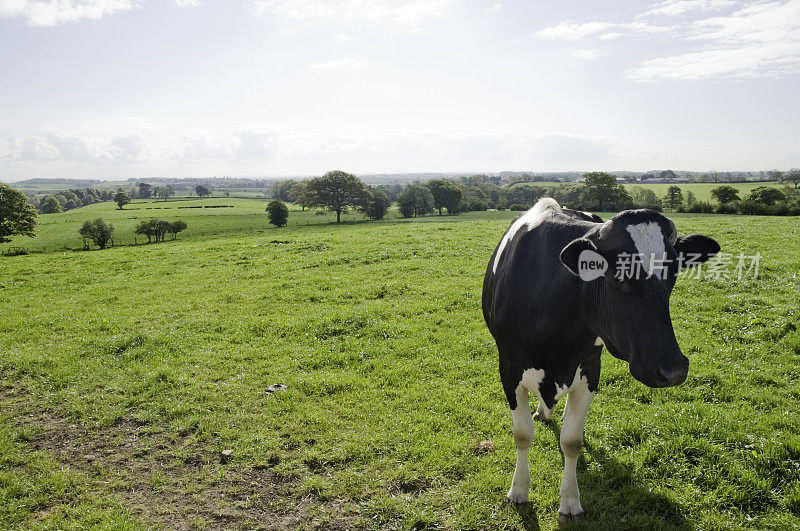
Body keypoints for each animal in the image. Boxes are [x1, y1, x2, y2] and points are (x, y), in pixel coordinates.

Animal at [482, 197, 720, 520]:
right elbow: (522, 435)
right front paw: (518, 491)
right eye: (619, 277)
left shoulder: (589, 369)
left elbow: (571, 441)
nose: (673, 370)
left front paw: (570, 501)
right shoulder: (508, 368)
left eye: (673, 274)